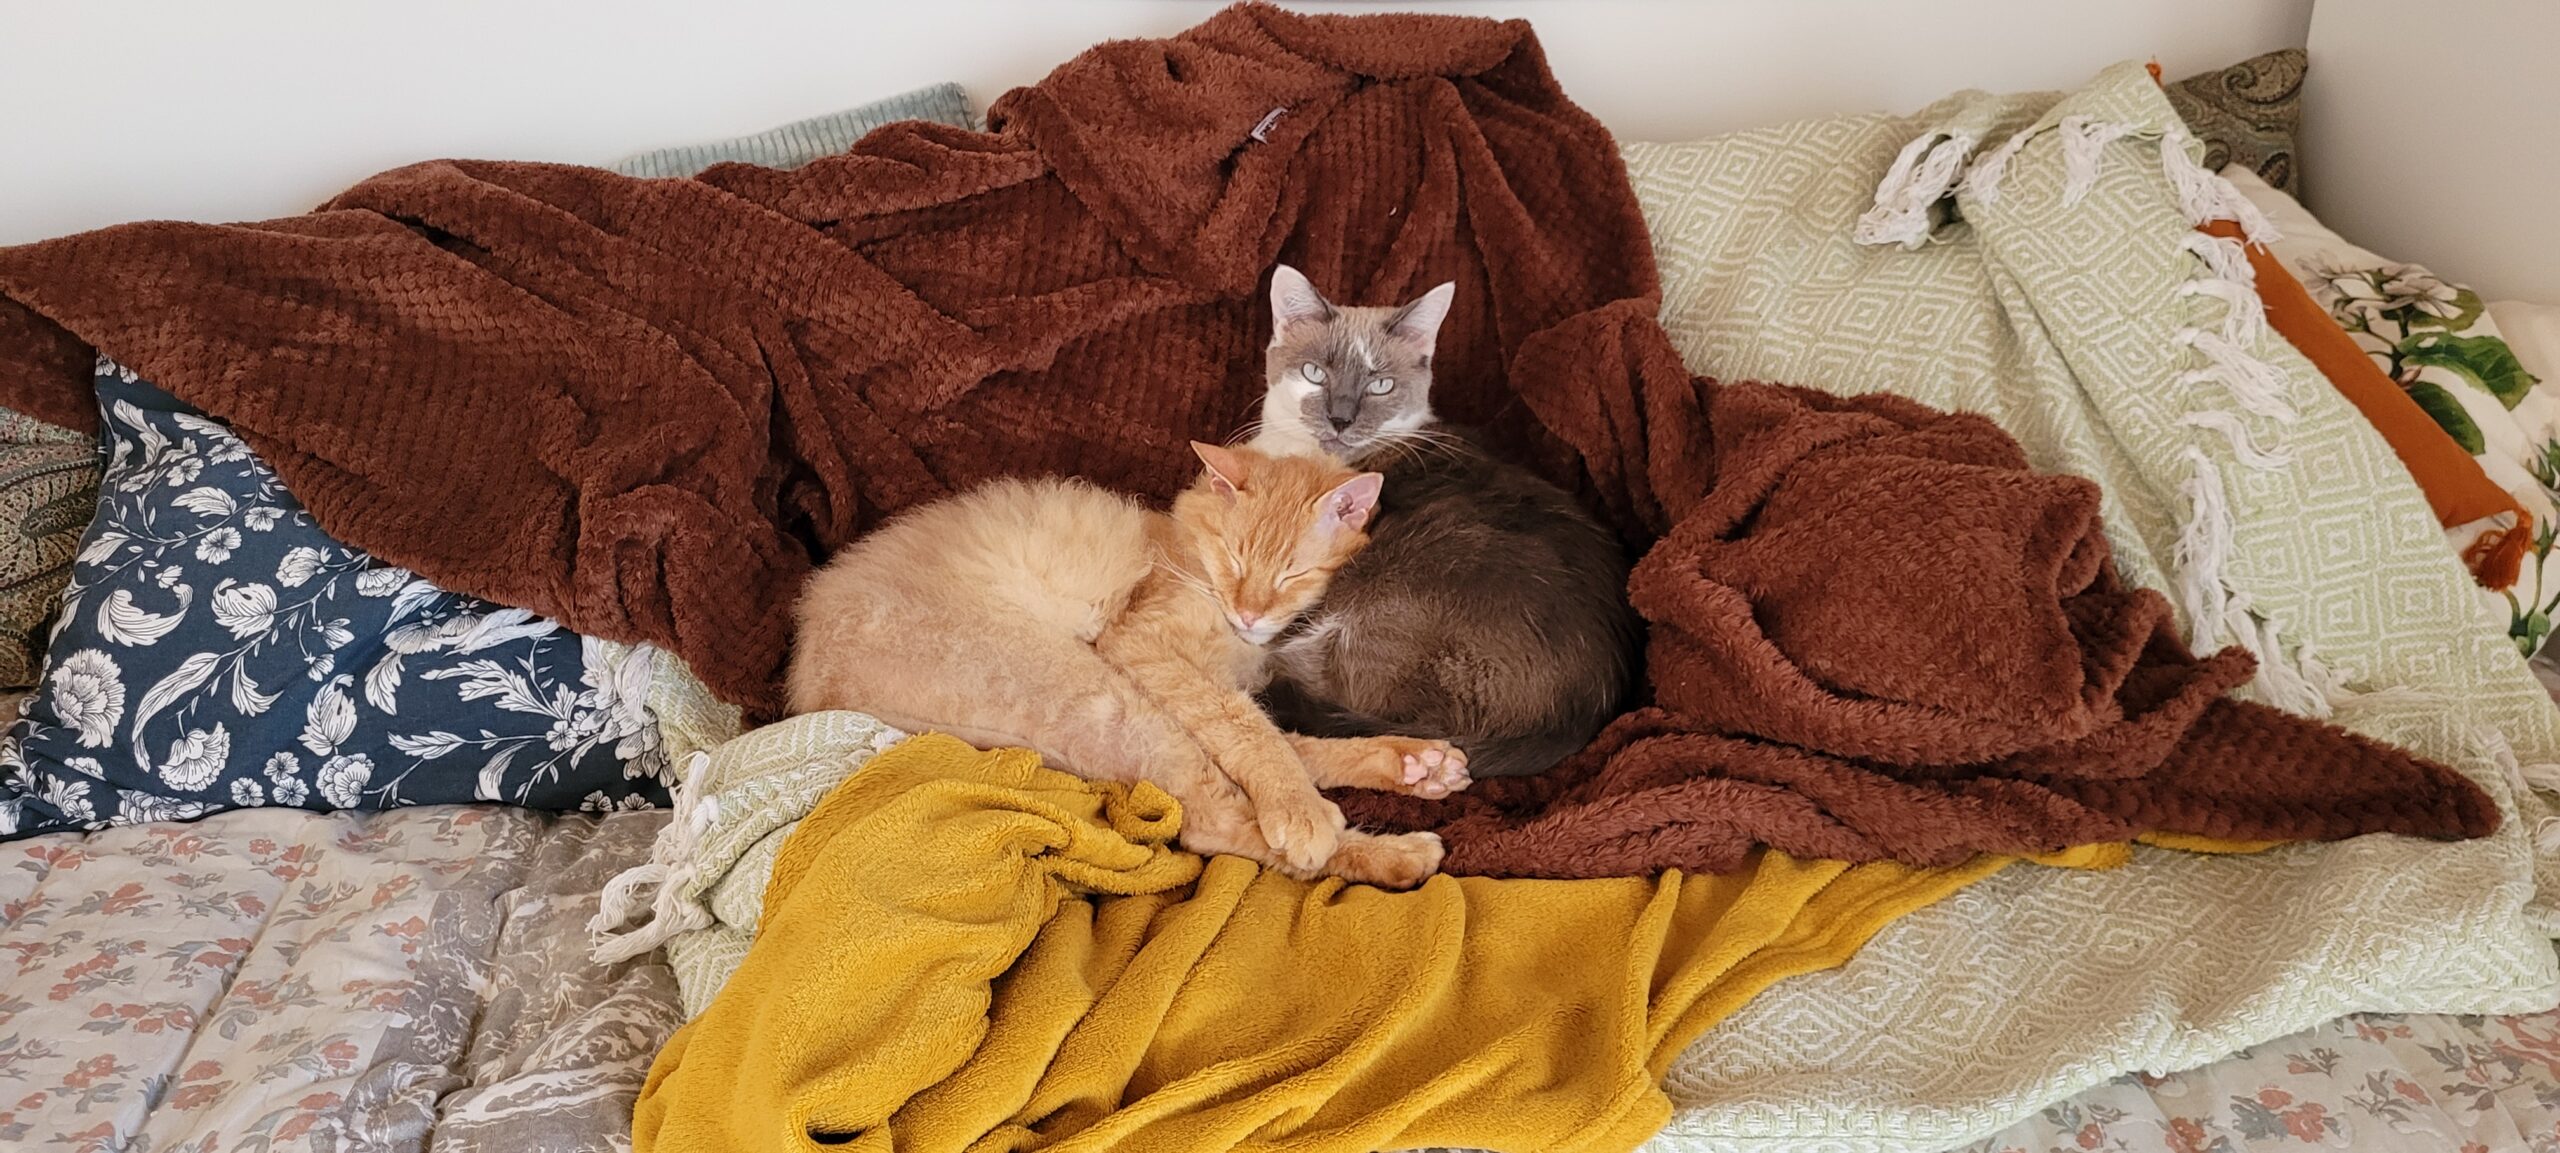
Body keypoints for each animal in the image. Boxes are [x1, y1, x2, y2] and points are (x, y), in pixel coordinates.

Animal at [783, 445, 1464, 886]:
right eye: (1236, 561)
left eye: (1293, 574)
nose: (1248, 613)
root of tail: (815, 688)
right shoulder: (1145, 646)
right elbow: (1255, 737)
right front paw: (1298, 812)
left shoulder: (1205, 678)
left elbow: (1271, 737)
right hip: (1103, 696)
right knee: (1213, 824)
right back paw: (1391, 853)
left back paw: (1413, 766)